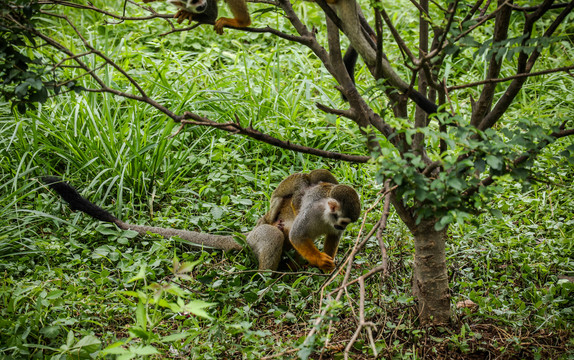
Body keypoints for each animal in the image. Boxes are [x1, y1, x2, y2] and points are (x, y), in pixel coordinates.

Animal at [44, 170, 360, 272]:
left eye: (345, 224)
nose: (341, 226)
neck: (325, 214)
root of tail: (247, 234)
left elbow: (330, 239)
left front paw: (329, 262)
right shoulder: (311, 212)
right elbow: (295, 234)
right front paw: (321, 261)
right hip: (259, 233)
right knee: (276, 235)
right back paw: (265, 278)